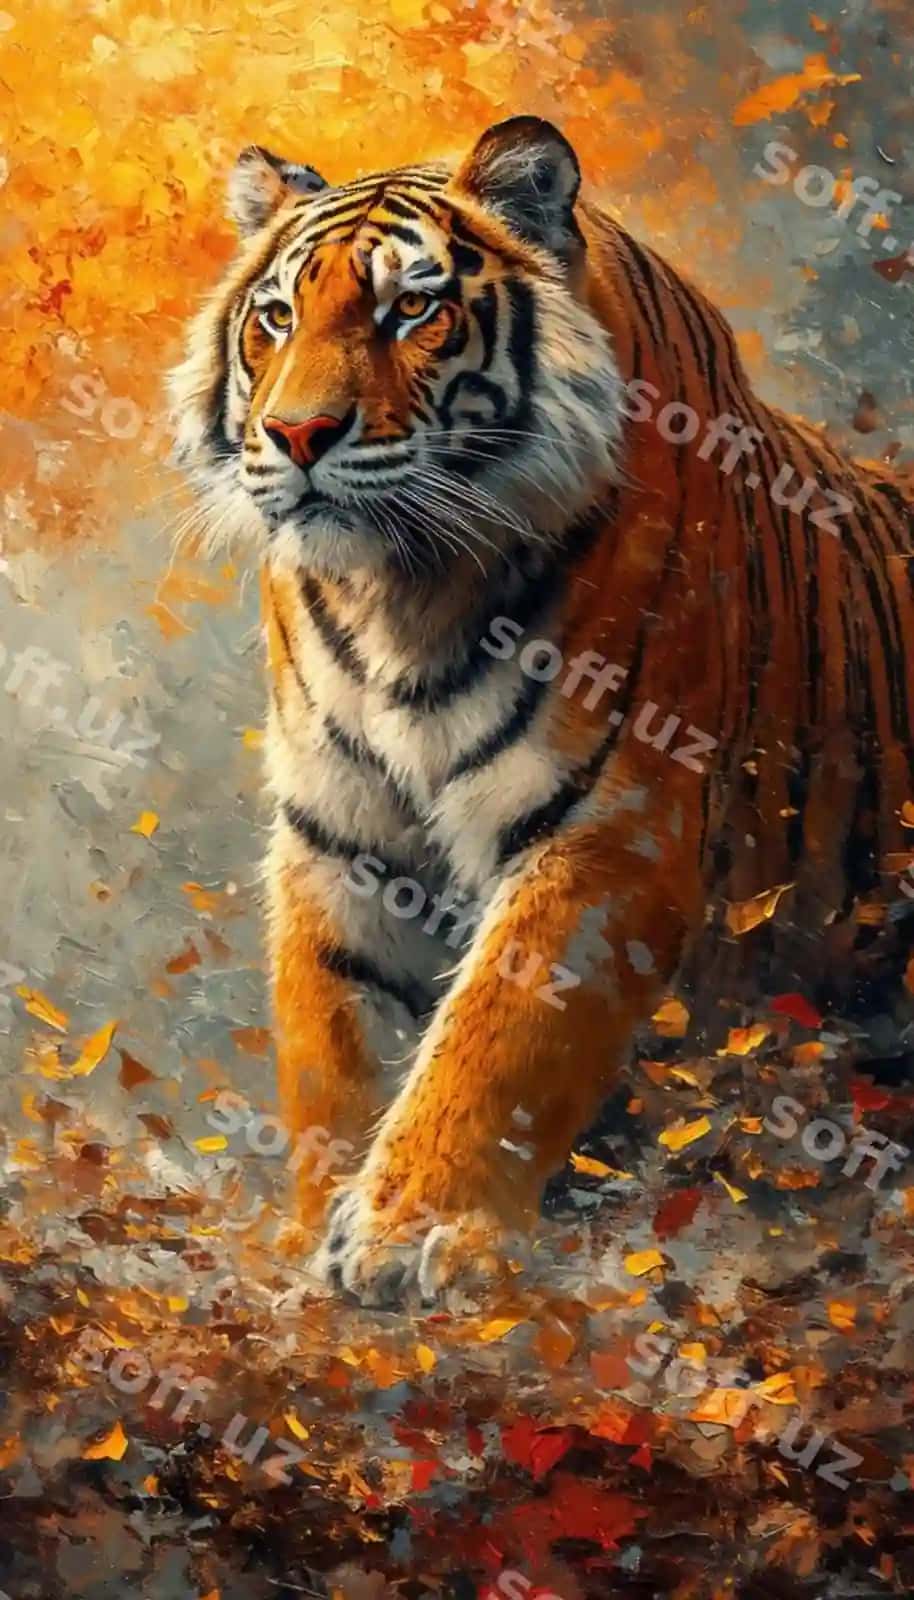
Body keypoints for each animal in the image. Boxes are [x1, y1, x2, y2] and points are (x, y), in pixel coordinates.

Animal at [170, 115, 914, 1306]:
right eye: (275, 317)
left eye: (410, 310)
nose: (295, 434)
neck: (400, 594)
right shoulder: (338, 841)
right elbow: (334, 1048)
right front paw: (310, 1239)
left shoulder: (607, 833)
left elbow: (490, 1042)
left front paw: (410, 1234)